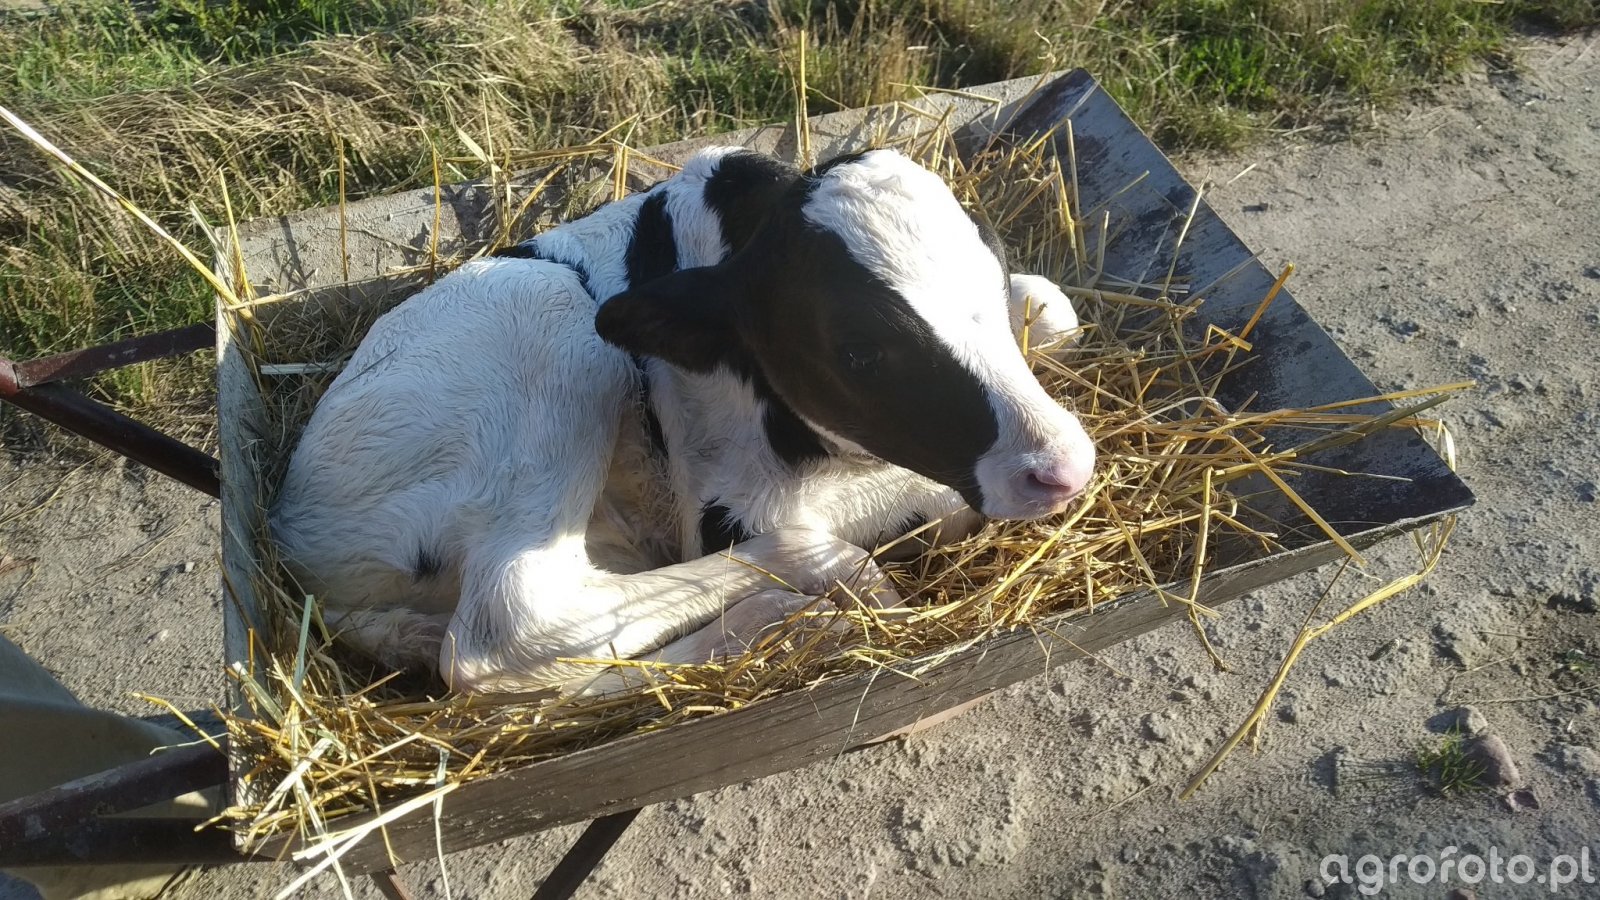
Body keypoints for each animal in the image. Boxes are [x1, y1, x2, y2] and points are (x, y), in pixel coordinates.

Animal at [270, 146, 1096, 695]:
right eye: (860, 351)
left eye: (993, 268)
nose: (1063, 468)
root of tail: (294, 531)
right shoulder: (726, 505)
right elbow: (933, 501)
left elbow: (1053, 308)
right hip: (548, 321)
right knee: (506, 631)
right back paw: (806, 603)